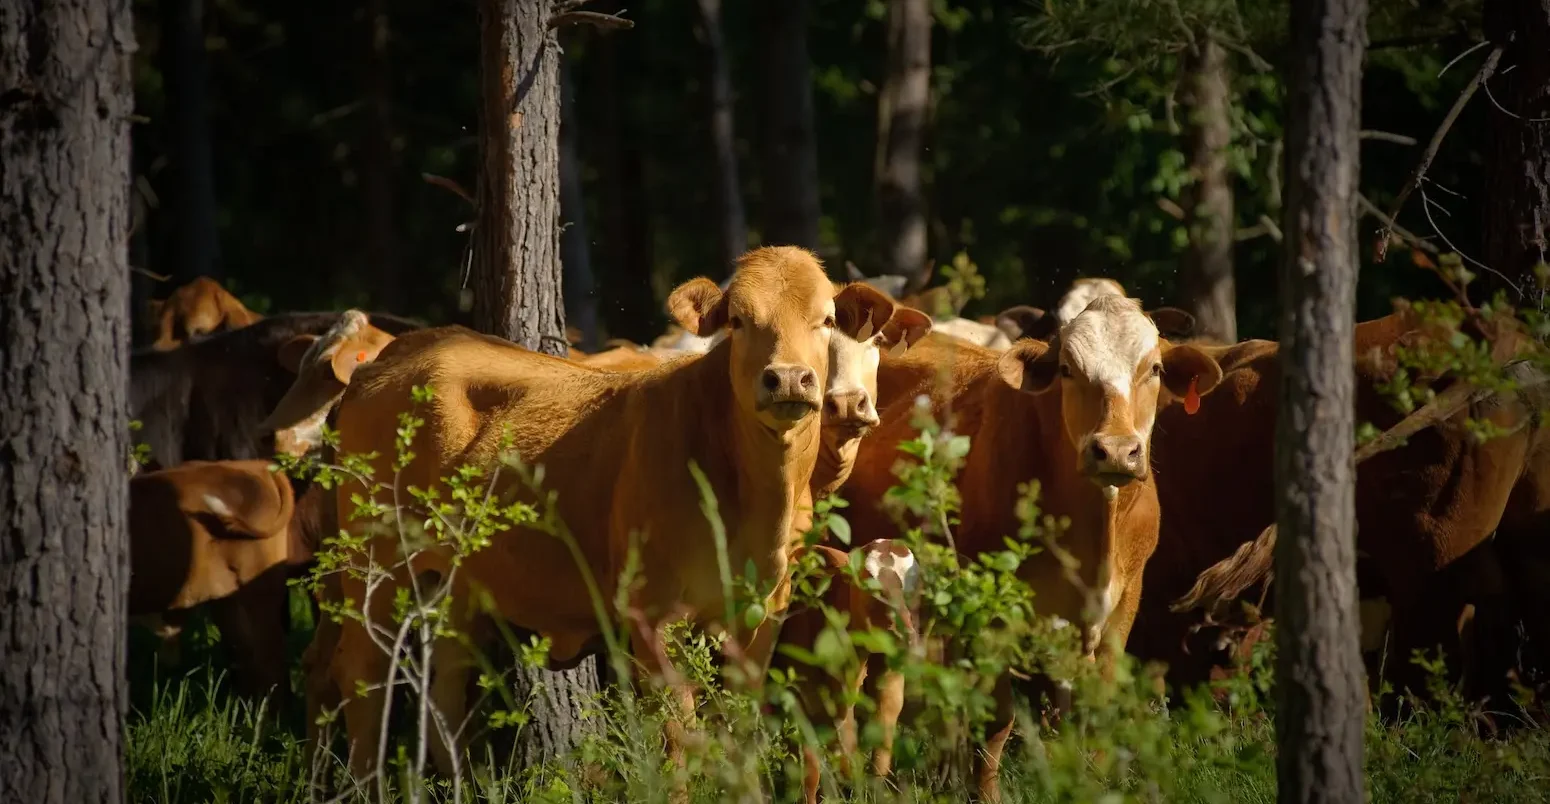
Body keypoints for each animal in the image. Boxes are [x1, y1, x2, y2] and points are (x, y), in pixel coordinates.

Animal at [311, 244, 899, 780]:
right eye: (737, 320)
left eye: (826, 320)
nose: (790, 378)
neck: (751, 501)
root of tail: (400, 351)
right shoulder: (650, 612)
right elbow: (677, 732)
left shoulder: (764, 612)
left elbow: (737, 727)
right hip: (375, 559)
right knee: (362, 672)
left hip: (458, 580)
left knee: (446, 688)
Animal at [837, 295, 1221, 799]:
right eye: (1067, 369)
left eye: (1154, 368)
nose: (1116, 451)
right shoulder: (993, 607)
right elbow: (998, 717)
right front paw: (986, 794)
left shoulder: (1123, 602)